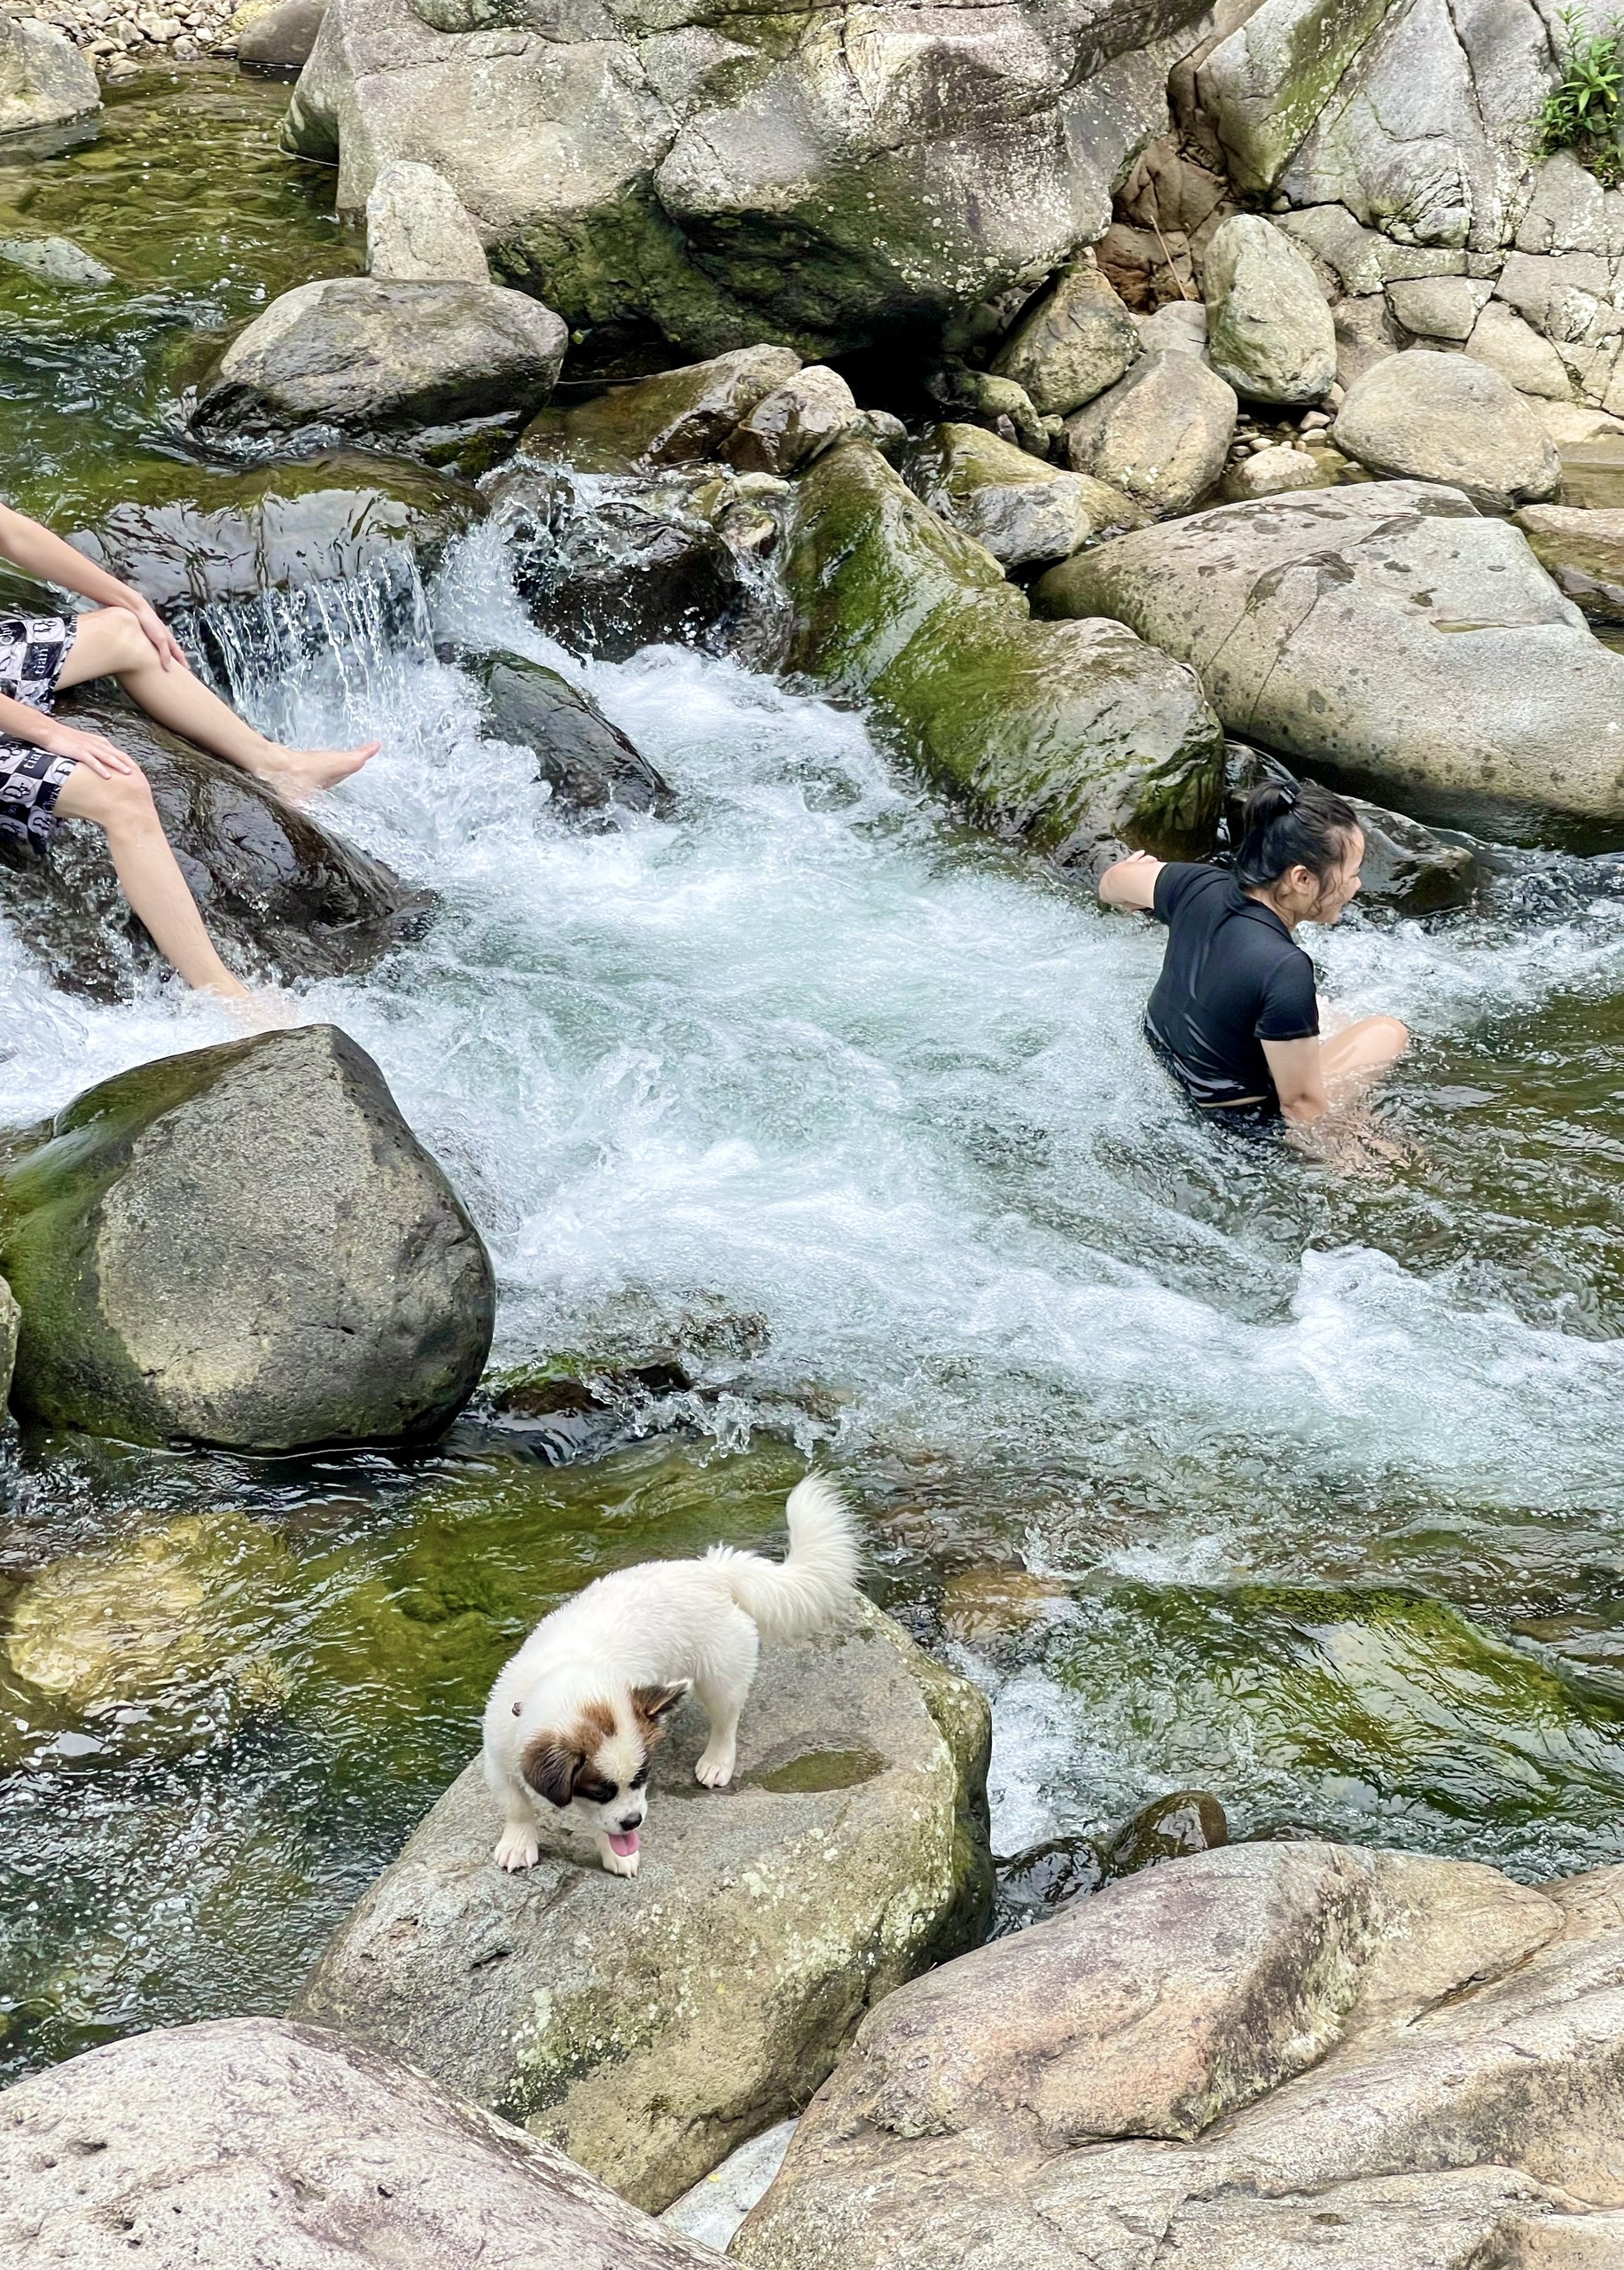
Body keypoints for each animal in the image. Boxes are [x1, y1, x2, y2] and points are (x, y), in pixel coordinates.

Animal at [482, 1470, 862, 1879]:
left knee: (726, 1720)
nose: (633, 1821)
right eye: (600, 1791)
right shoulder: (498, 1758)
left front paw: (617, 1853)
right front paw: (519, 1841)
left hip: (719, 1676)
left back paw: (717, 1761)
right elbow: (516, 1806)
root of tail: (712, 1571)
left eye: (641, 1778)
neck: (564, 1675)